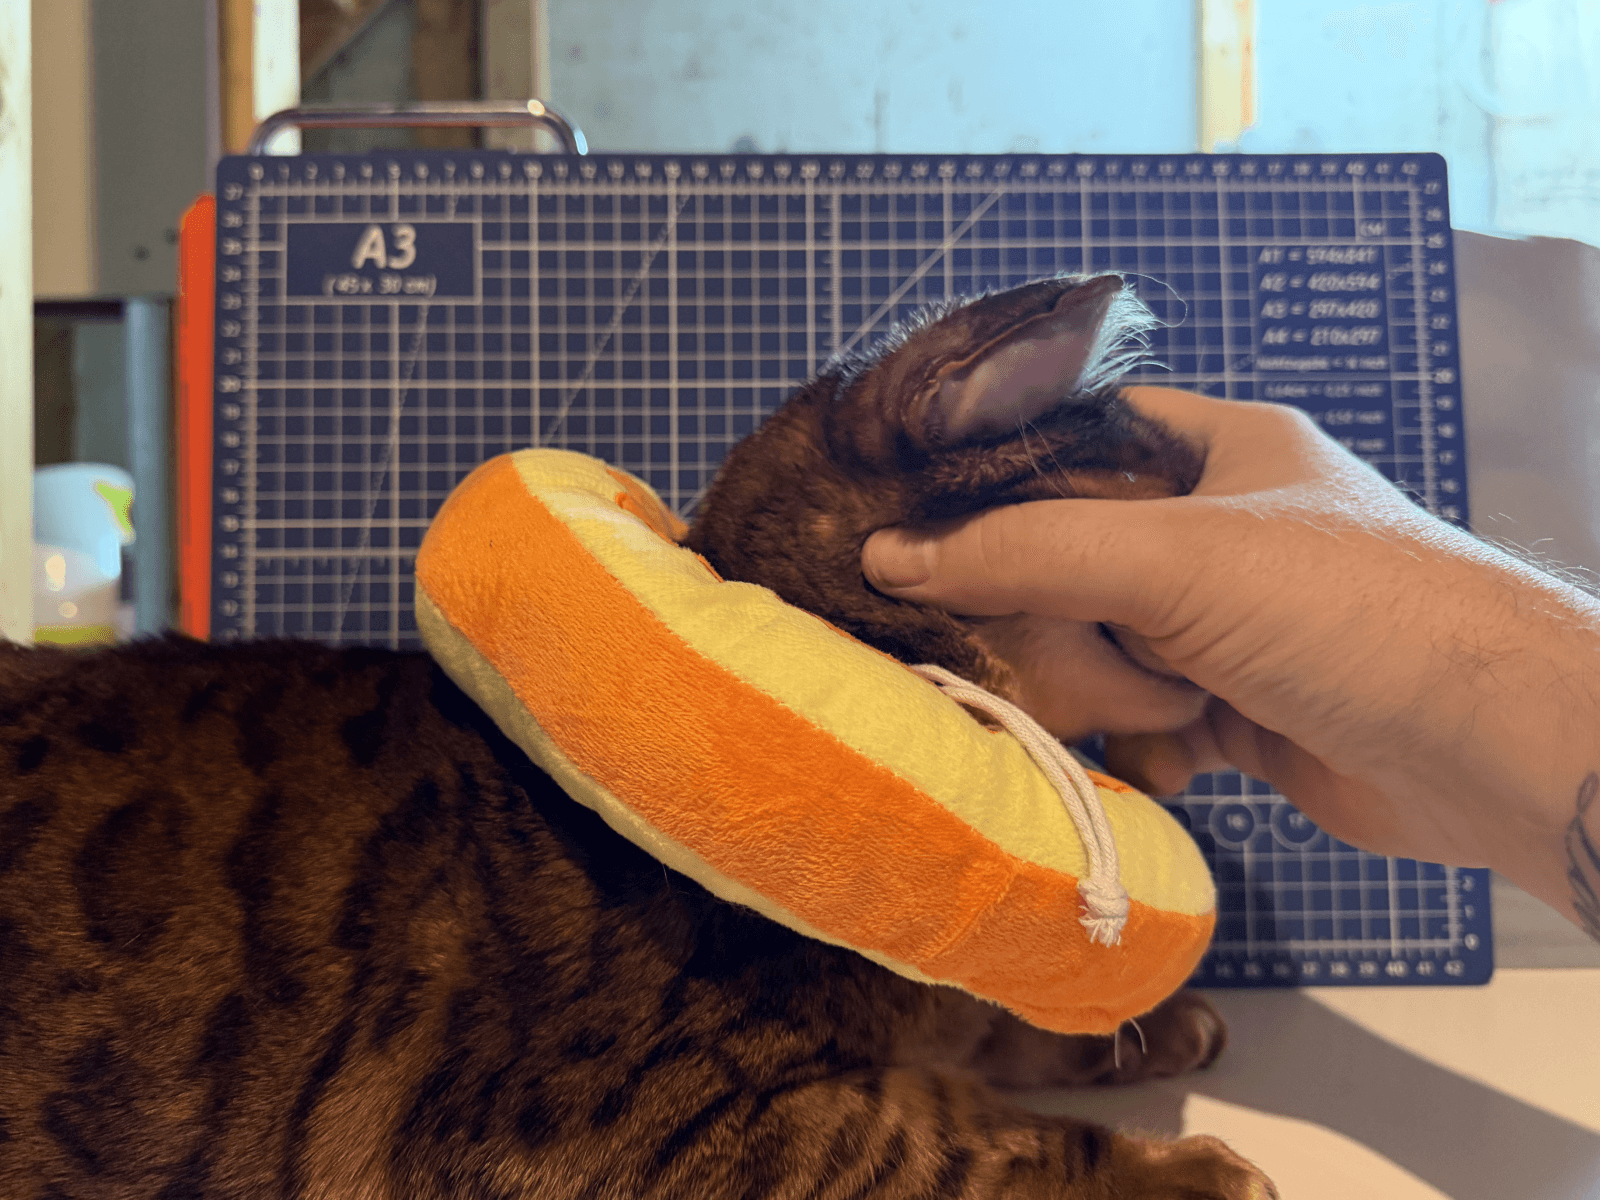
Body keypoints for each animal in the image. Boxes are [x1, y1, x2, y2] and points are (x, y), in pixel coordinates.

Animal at [0, 274, 1275, 1199]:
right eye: (1174, 495)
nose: (1272, 515)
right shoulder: (615, 1125)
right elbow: (951, 1135)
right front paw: (1184, 1168)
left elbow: (976, 1036)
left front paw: (1154, 1030)